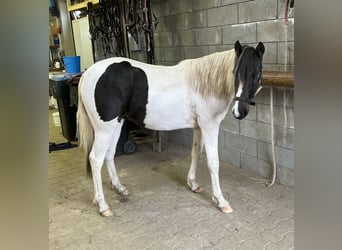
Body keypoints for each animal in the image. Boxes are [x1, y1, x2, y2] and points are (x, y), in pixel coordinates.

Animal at [77, 40, 264, 216]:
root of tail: (87, 74)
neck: (206, 84)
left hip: (116, 125)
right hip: (104, 130)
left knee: (109, 155)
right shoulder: (209, 126)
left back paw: (119, 187)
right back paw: (103, 205)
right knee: (96, 159)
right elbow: (213, 163)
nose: (240, 111)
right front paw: (221, 201)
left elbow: (196, 153)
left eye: (258, 73)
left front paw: (193, 184)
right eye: (235, 72)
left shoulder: (199, 127)